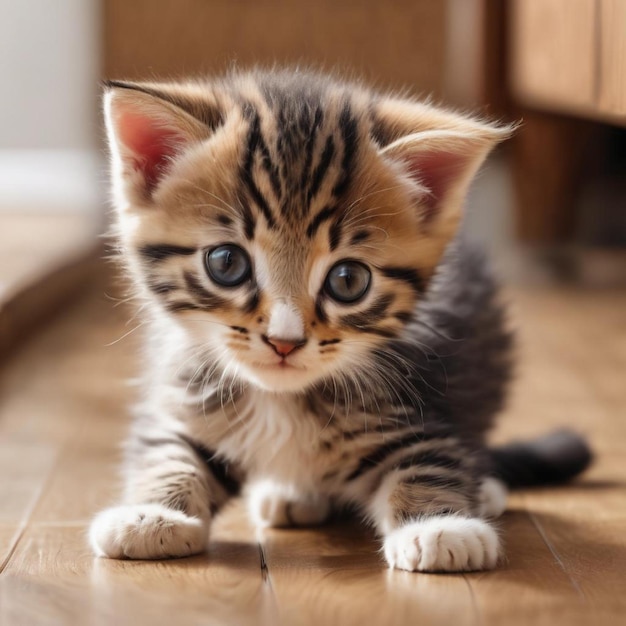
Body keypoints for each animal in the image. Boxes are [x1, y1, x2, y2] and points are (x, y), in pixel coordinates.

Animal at [89, 69, 588, 572]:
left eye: (348, 280)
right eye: (227, 263)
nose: (284, 341)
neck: (280, 402)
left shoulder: (417, 400)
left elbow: (429, 457)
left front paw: (441, 526)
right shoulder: (184, 391)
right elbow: (167, 451)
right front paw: (153, 513)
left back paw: (483, 489)